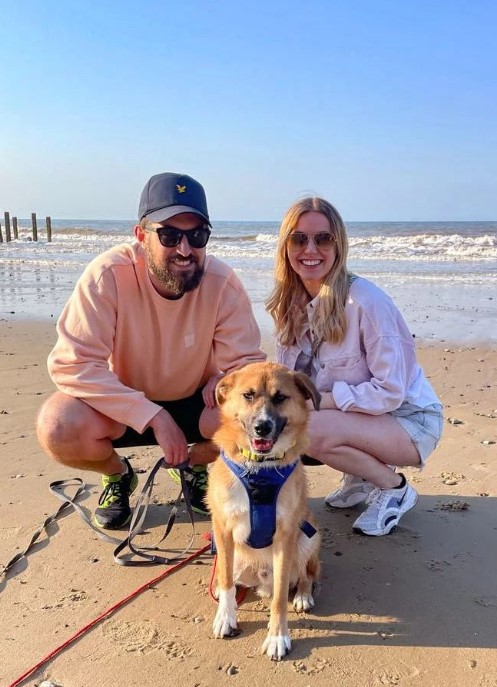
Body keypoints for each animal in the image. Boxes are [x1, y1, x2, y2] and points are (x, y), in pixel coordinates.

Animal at [205, 360, 322, 660]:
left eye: (280, 397)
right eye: (248, 395)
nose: (262, 428)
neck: (259, 470)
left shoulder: (286, 535)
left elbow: (280, 597)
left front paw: (278, 636)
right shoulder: (222, 530)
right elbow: (225, 582)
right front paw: (226, 617)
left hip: (309, 536)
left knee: (308, 574)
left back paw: (303, 595)